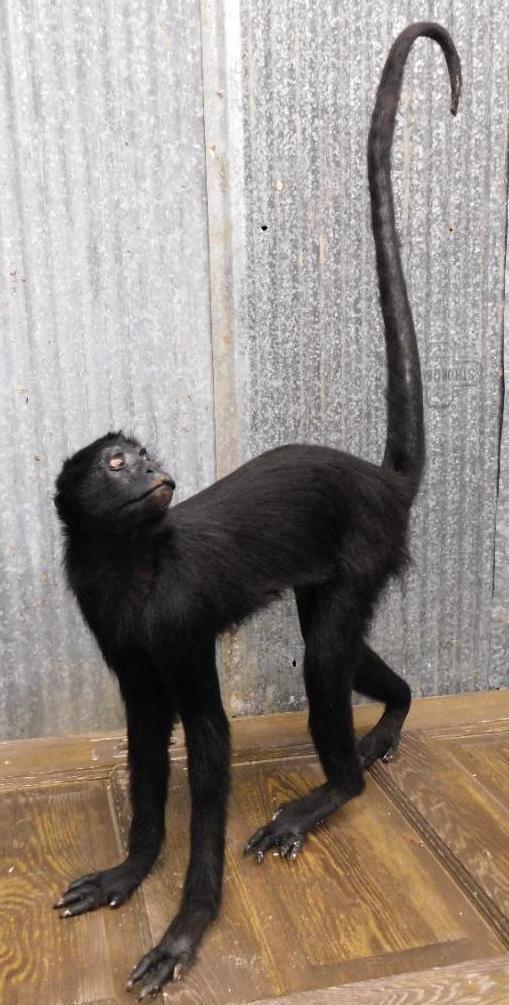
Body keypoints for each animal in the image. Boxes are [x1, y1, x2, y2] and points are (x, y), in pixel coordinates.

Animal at [53, 23, 461, 998]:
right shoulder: (118, 636)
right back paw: (390, 720)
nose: (156, 470)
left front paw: (184, 929)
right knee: (338, 650)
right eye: (118, 462)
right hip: (340, 570)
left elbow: (206, 740)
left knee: (323, 659)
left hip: (361, 551)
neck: (133, 563)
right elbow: (146, 739)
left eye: (144, 455)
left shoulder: (175, 619)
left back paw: (329, 793)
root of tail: (377, 480)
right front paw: (130, 872)